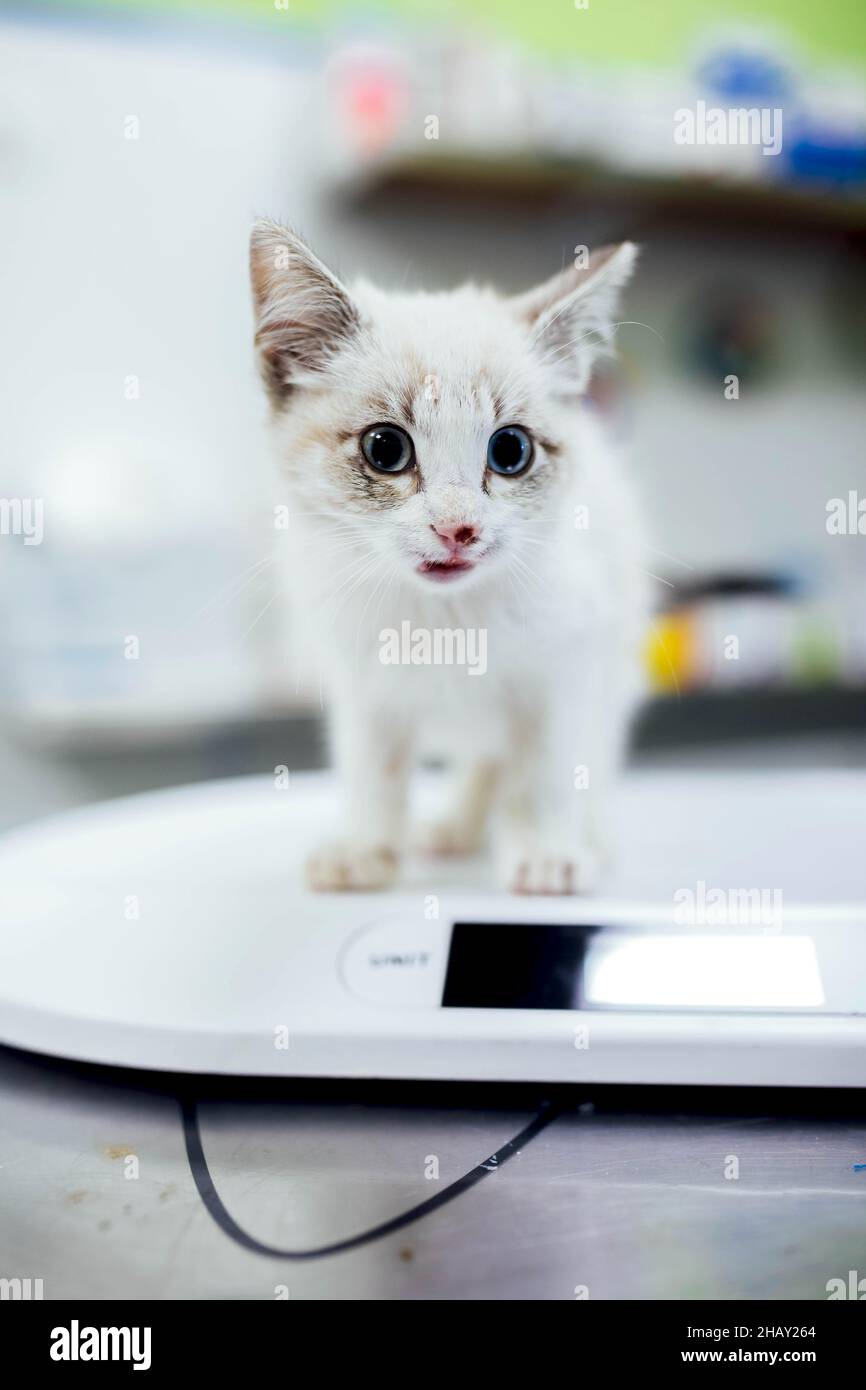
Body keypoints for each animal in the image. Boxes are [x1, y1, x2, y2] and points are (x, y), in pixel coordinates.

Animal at [247, 216, 647, 889]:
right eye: (385, 448)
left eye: (511, 450)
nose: (458, 529)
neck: (446, 621)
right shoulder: (362, 681)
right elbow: (372, 767)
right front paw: (365, 847)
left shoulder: (567, 662)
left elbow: (545, 766)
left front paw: (544, 850)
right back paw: (455, 827)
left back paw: (584, 834)